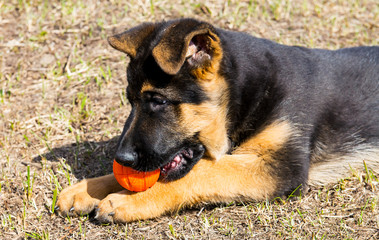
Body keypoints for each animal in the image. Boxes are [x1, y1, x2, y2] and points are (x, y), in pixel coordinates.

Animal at [57, 18, 379, 223]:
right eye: (130, 101)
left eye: (158, 101)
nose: (121, 159)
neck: (250, 92)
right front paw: (87, 189)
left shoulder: (279, 167)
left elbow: (204, 171)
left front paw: (126, 200)